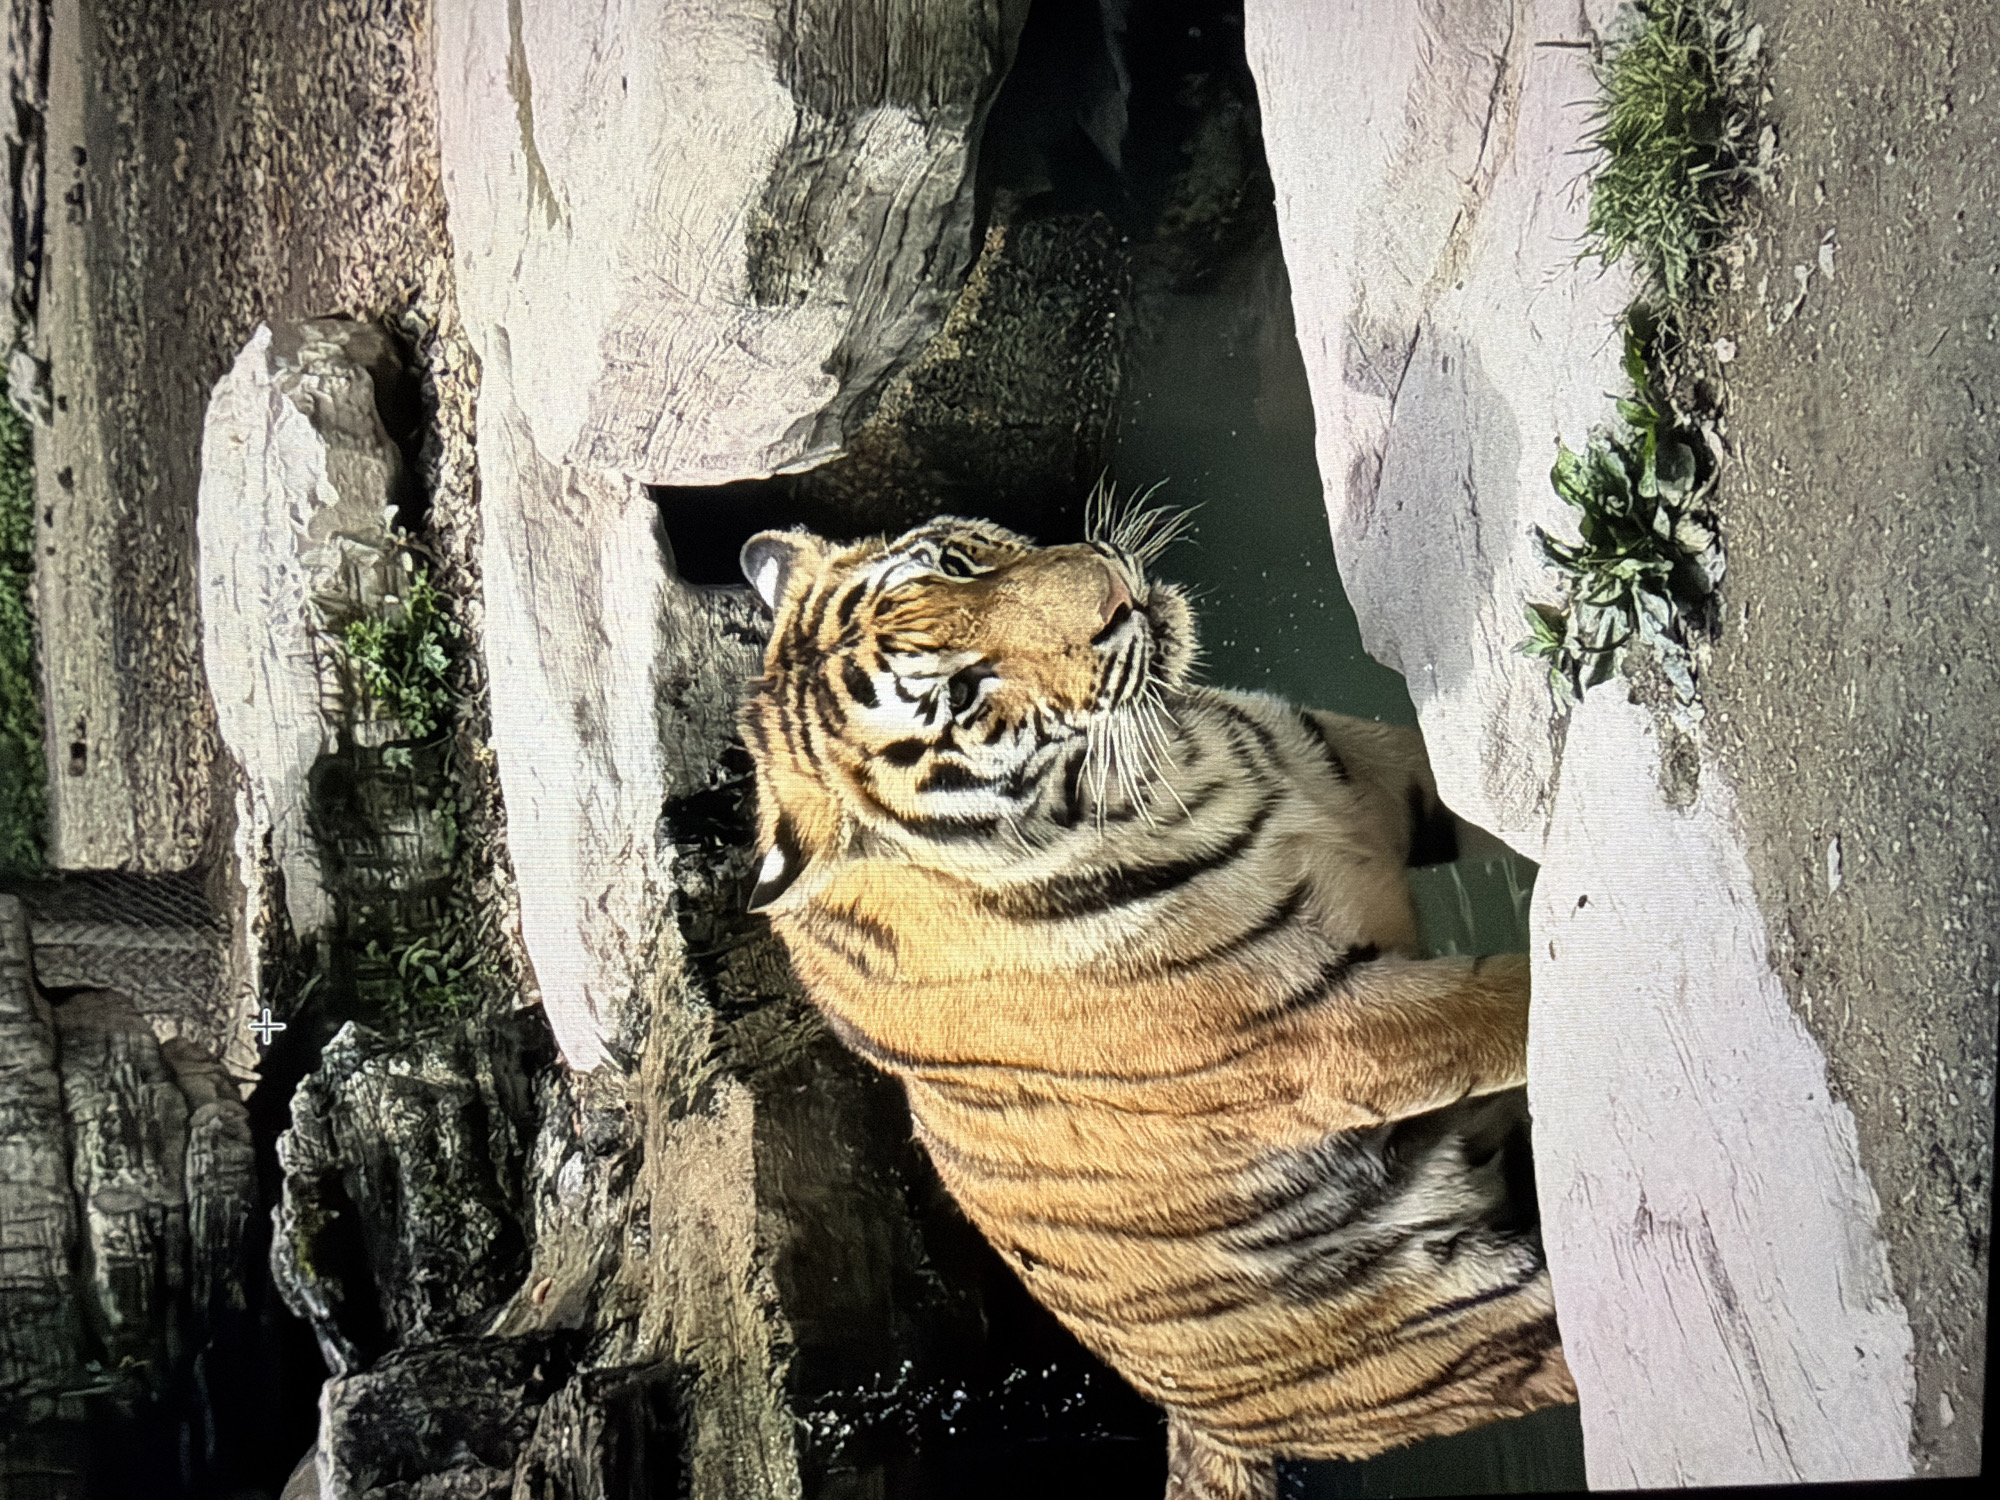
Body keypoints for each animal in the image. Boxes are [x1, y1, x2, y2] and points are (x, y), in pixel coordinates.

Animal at [735, 500, 1576, 1500]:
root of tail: (1200, 1426)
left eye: (953, 563)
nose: (1112, 593)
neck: (1176, 774)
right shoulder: (1327, 1035)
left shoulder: (1362, 767)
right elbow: (1507, 1008)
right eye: (965, 695)